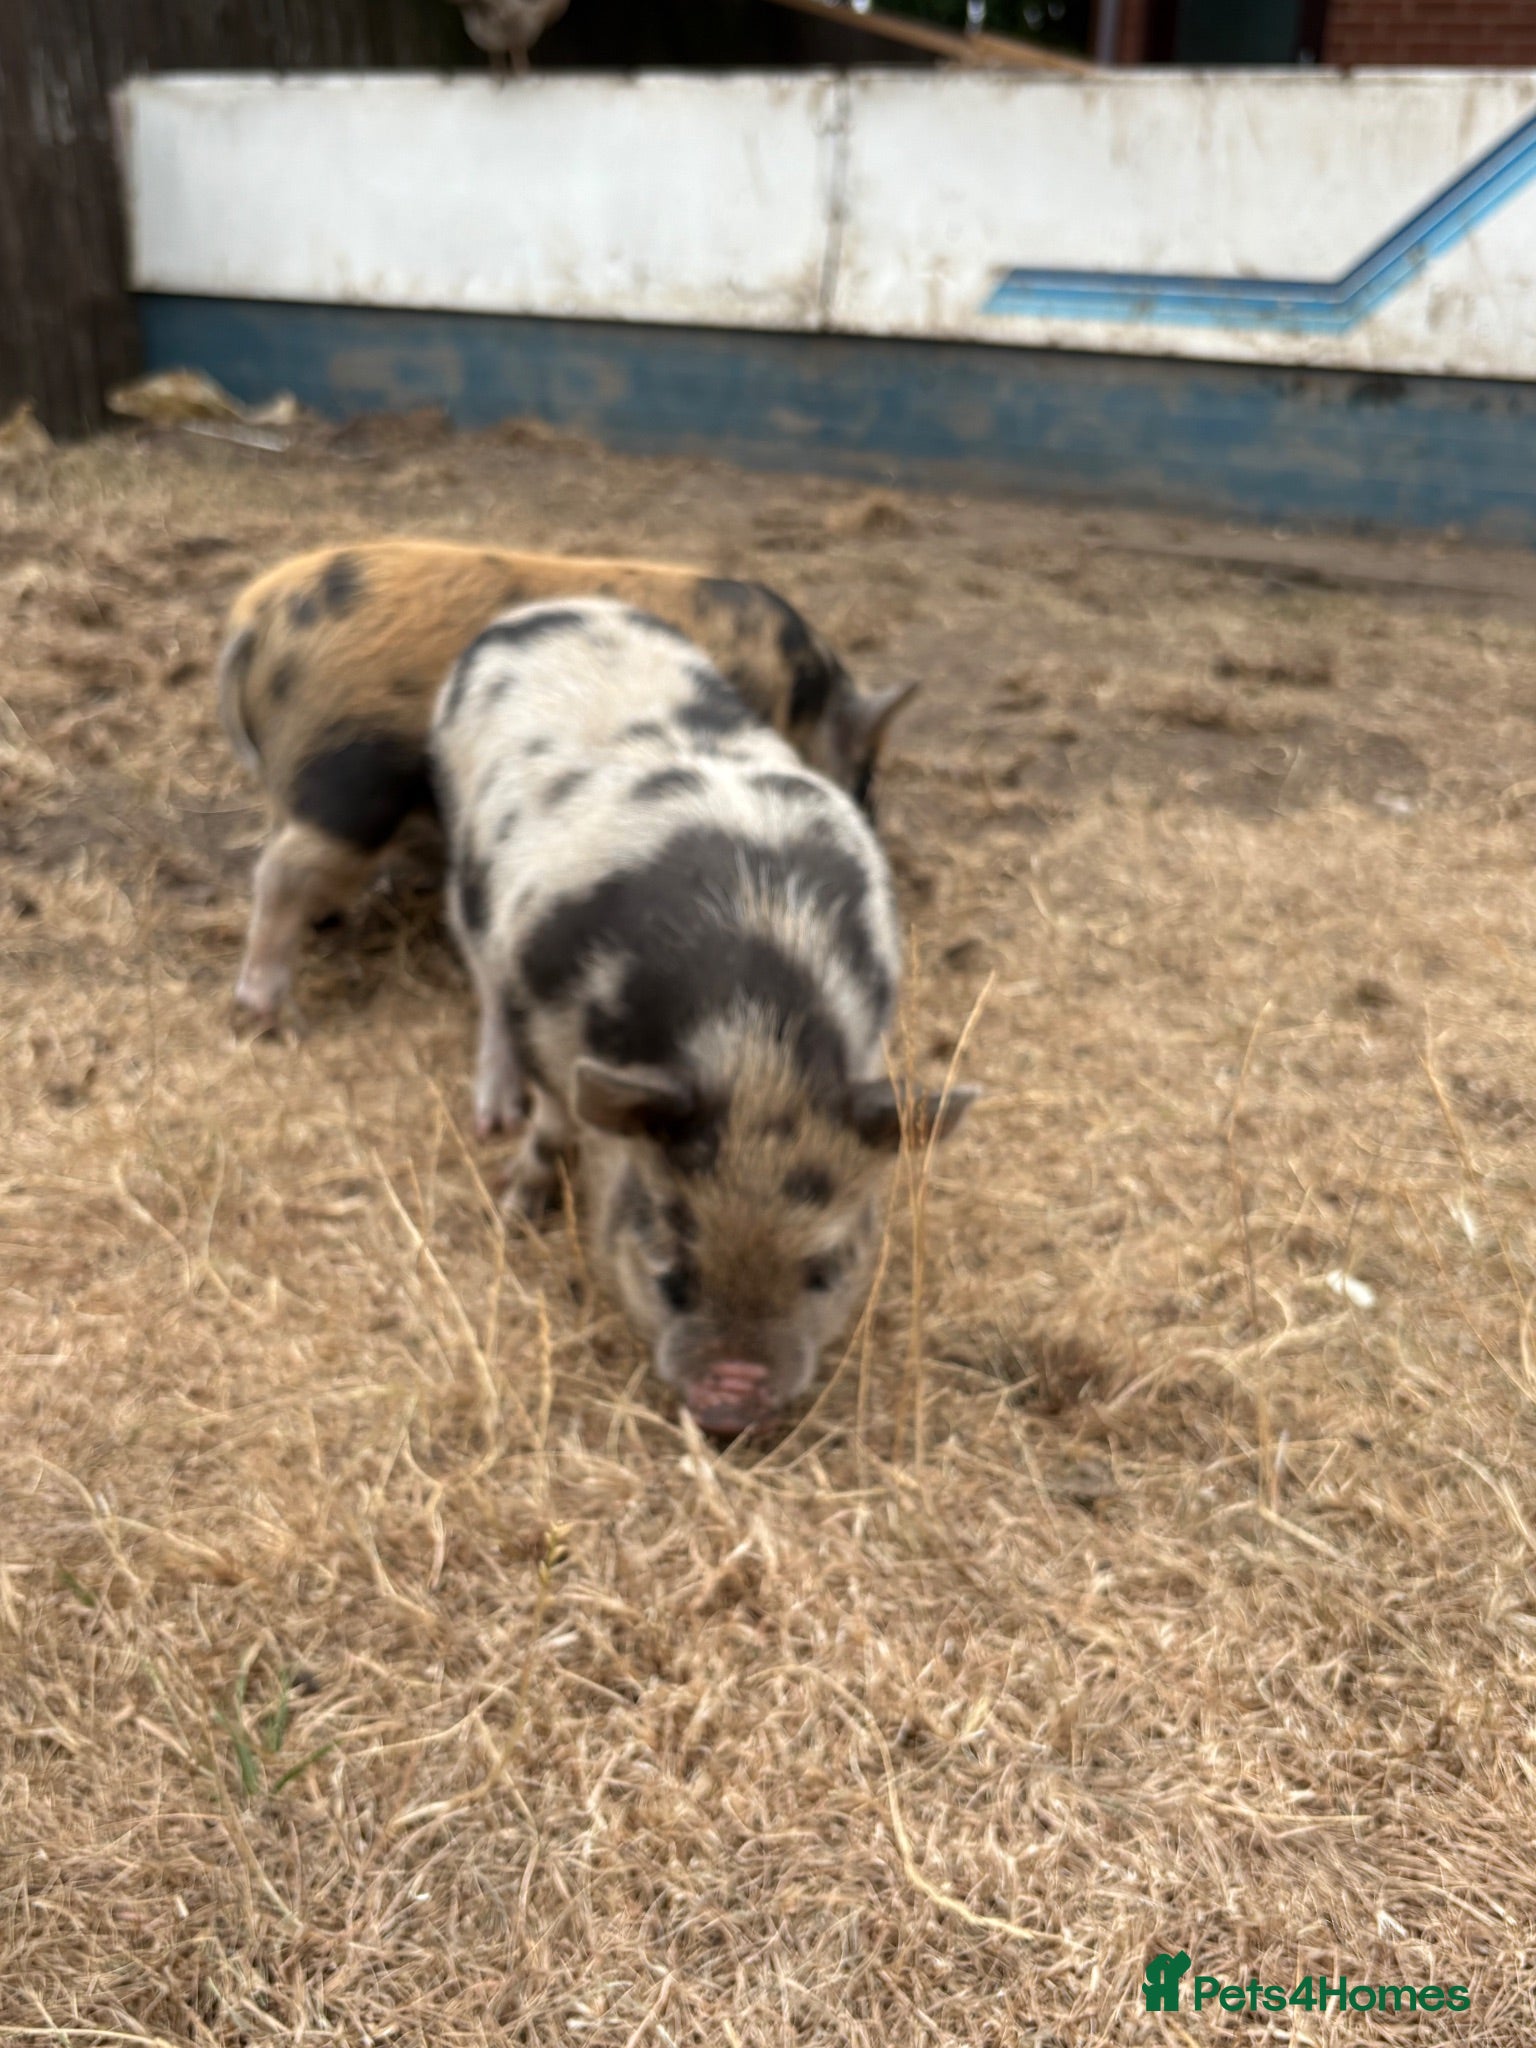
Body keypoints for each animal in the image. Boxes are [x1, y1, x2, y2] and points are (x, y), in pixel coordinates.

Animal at [217, 539, 916, 1026]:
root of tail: (258, 619)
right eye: (865, 778)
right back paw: (273, 1011)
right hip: (351, 777)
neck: (796, 708)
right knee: (280, 872)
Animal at [430, 598, 974, 1435]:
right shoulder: (533, 1001)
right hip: (461, 849)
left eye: (824, 1270)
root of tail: (560, 604)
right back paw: (493, 1111)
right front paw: (515, 1209)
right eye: (673, 1268)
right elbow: (551, 1119)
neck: (753, 1040)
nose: (735, 1395)